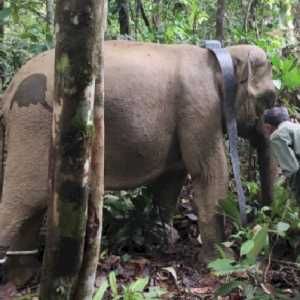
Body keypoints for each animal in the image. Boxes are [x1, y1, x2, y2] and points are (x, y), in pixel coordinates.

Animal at [0, 41, 276, 284]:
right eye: (270, 99)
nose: (260, 224)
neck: (221, 54)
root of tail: (9, 88)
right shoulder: (201, 108)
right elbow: (209, 174)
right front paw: (222, 260)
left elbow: (171, 181)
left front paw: (166, 237)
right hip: (34, 123)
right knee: (23, 201)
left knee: (33, 206)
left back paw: (22, 276)